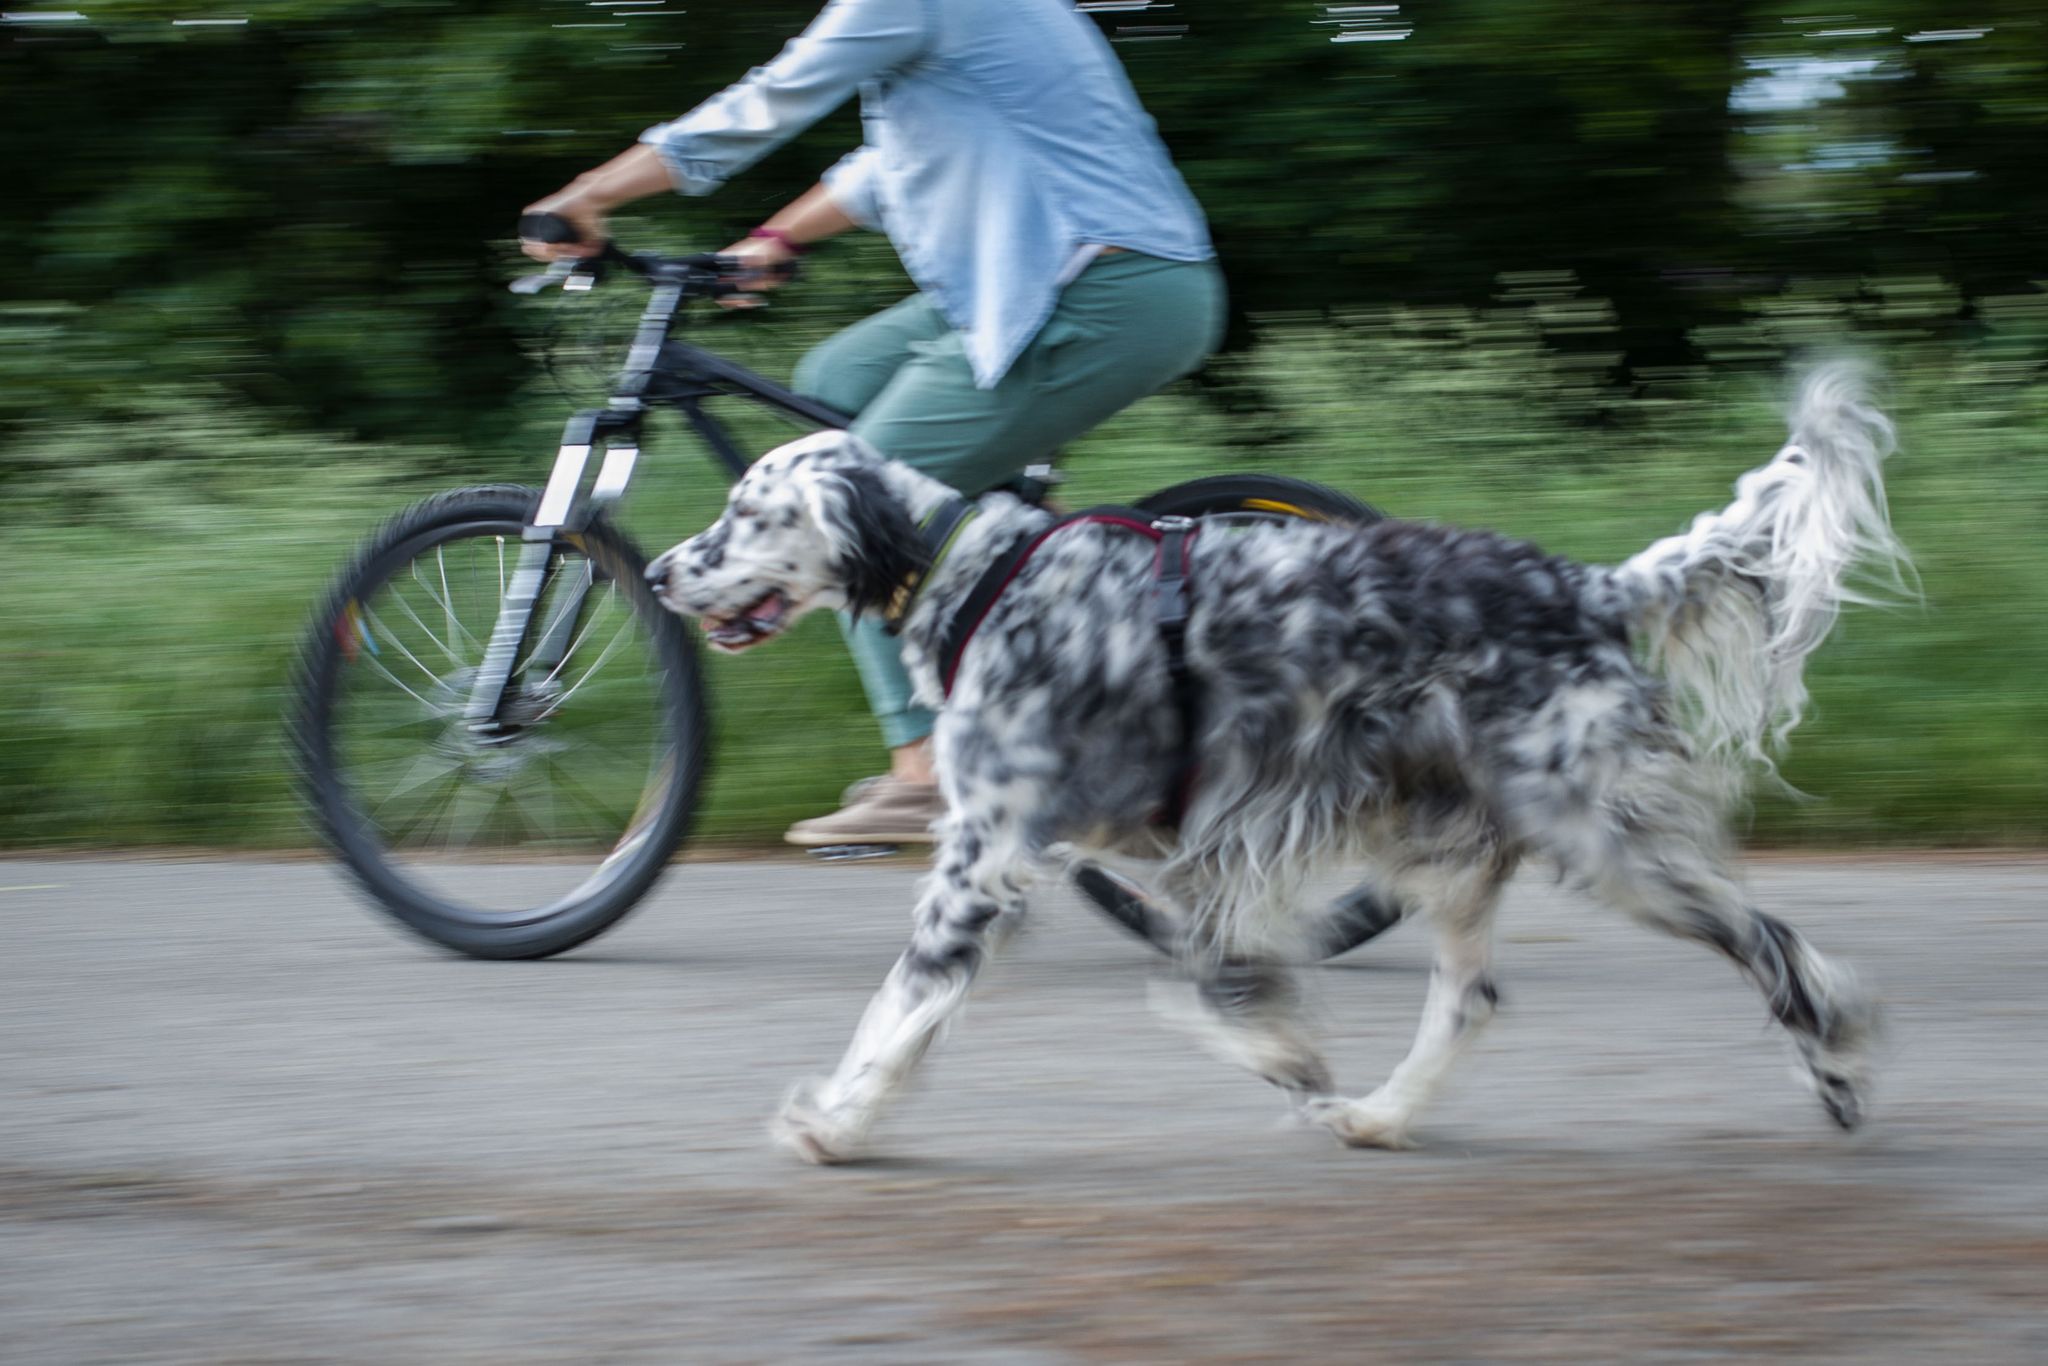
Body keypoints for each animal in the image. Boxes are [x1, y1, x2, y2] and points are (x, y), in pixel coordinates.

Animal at [643, 362, 1900, 1163]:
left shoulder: (986, 859)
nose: (655, 571)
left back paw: (1839, 1068)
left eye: (746, 511)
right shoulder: (1192, 844)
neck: (975, 575)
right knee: (1471, 997)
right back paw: (1381, 1116)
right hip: (1448, 847)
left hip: (1594, 835)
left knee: (1768, 941)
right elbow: (1211, 976)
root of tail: (1584, 585)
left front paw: (836, 1123)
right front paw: (1285, 1051)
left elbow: (899, 1007)